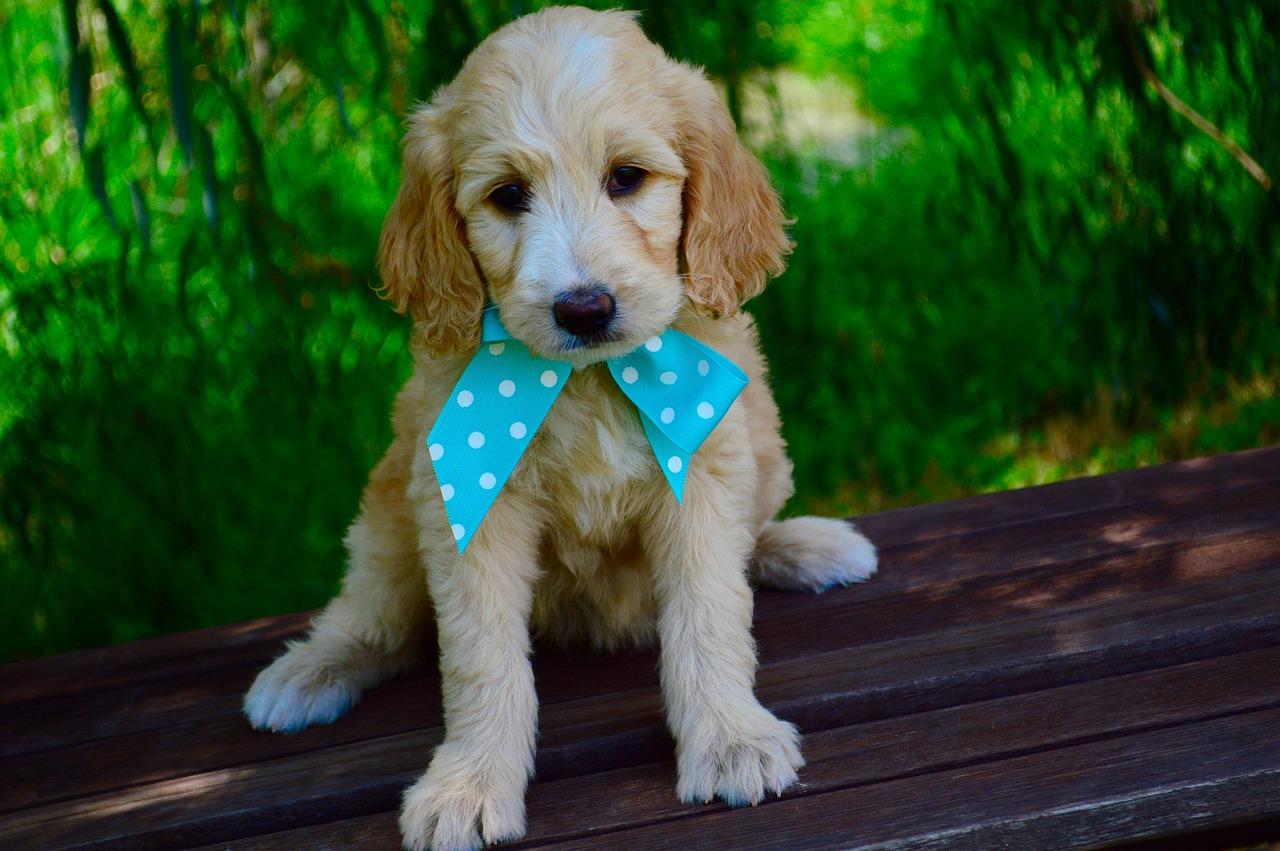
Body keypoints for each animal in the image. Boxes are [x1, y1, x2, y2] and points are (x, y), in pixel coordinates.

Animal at [243, 8, 875, 849]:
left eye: (626, 178)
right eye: (509, 195)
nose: (584, 307)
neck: (584, 379)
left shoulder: (704, 471)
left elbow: (711, 614)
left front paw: (730, 738)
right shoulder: (468, 501)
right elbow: (480, 655)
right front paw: (470, 783)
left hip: (763, 445)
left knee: (751, 537)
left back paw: (807, 546)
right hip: (389, 513)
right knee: (377, 617)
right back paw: (307, 671)